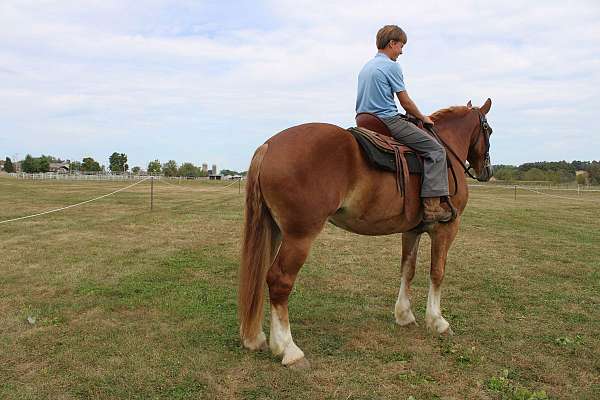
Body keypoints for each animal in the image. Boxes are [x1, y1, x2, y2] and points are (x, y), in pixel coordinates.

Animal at [238, 98, 492, 368]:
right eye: (488, 130)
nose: (487, 170)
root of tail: (269, 146)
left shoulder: (412, 231)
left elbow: (408, 270)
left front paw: (404, 315)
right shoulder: (446, 229)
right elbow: (437, 273)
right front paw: (437, 322)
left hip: (273, 230)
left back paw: (256, 338)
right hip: (299, 237)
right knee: (279, 281)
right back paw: (289, 349)